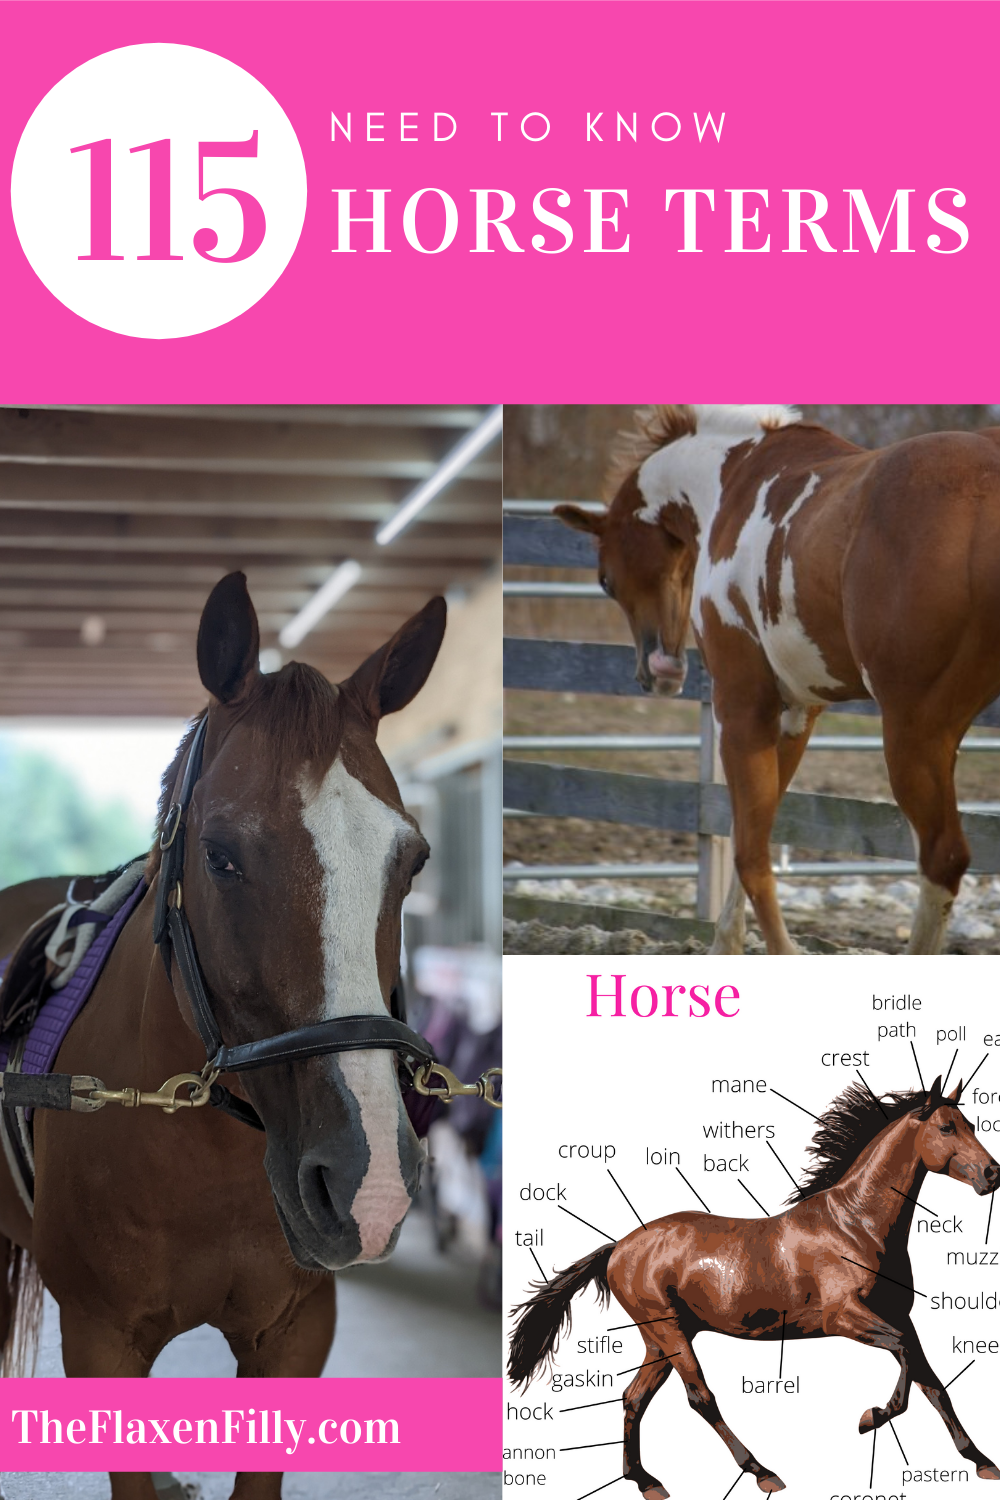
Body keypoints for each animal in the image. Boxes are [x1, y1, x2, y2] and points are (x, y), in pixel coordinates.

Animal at [509, 1075, 1000, 1497]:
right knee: (700, 1397)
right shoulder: (844, 1318)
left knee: (634, 1398)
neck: (856, 1226)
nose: (993, 1173)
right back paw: (762, 1471)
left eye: (972, 1124)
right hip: (669, 1332)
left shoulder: (900, 1316)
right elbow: (904, 1360)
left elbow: (932, 1381)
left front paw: (981, 1461)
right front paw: (870, 1418)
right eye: (946, 1127)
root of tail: (618, 1248)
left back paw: (645, 1481)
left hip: (661, 1339)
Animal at [555, 405, 1000, 954]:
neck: (732, 478)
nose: (657, 673)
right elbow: (750, 830)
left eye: (605, 579)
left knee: (943, 858)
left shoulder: (741, 705)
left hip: (915, 732)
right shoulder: (795, 713)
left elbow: (750, 852)